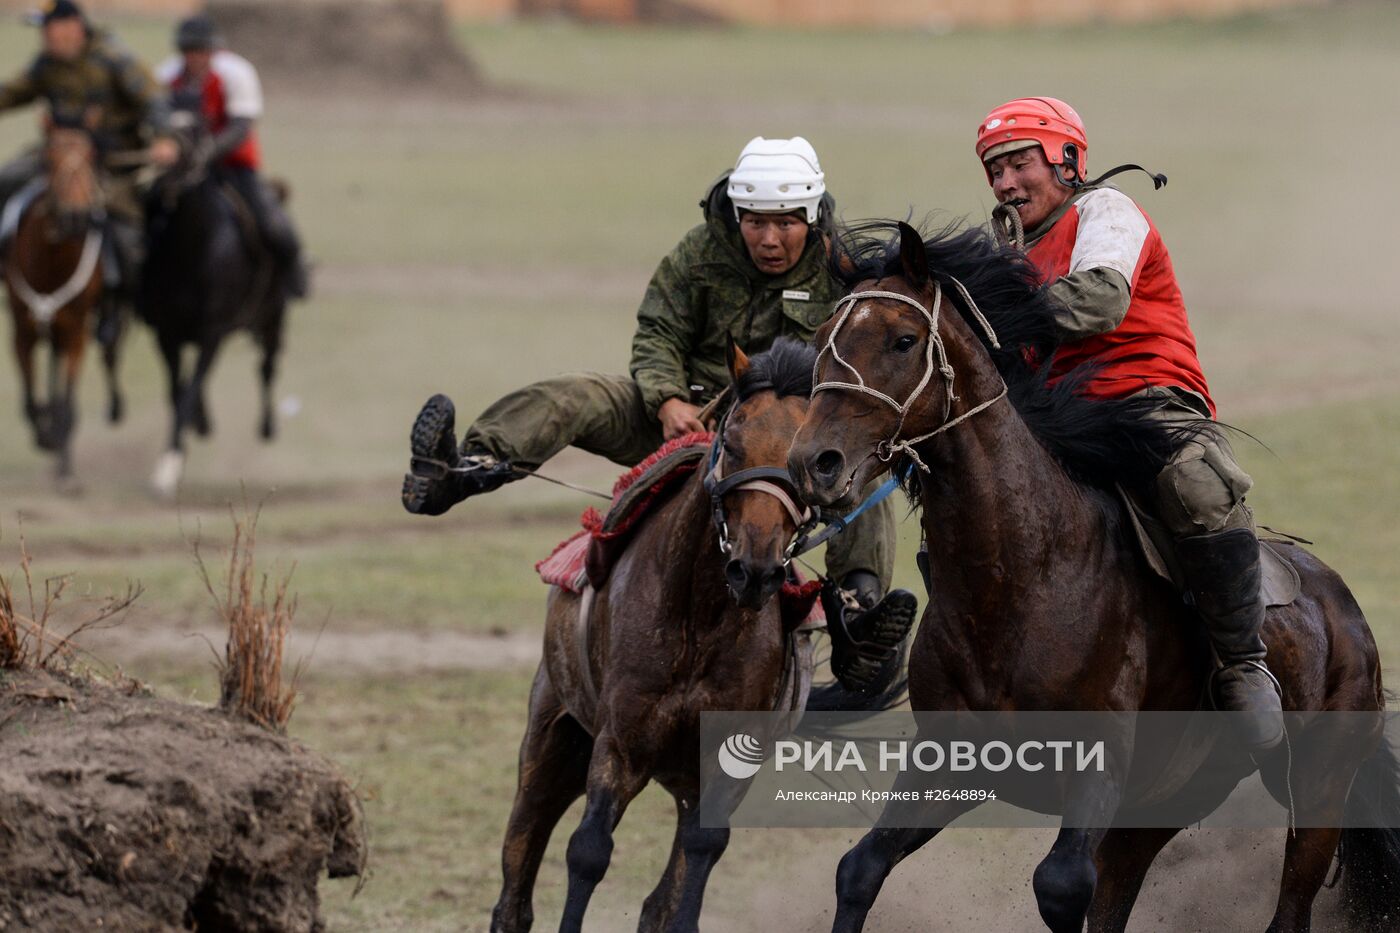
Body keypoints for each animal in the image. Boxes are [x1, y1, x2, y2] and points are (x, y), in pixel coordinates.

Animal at [4, 121, 125, 479]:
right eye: (49, 158)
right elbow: (31, 402)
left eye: (92, 156)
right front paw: (45, 435)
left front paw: (62, 456)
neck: (52, 261)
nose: (74, 217)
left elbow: (66, 404)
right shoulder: (22, 332)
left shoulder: (76, 333)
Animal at [140, 109, 288, 498]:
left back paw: (267, 426)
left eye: (196, 131)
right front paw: (174, 459)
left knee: (267, 367)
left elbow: (189, 391)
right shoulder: (167, 335)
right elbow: (178, 392)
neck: (190, 251)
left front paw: (166, 470)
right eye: (160, 125)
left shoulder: (213, 334)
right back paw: (204, 423)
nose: (165, 160)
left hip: (272, 319)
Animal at [492, 340, 907, 930]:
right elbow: (589, 851)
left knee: (658, 898)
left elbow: (699, 855)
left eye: (809, 464)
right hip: (552, 741)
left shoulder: (726, 759)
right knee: (517, 883)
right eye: (730, 442)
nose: (754, 570)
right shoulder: (620, 744)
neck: (698, 622)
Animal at [789, 224, 1400, 930]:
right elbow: (860, 868)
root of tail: (1345, 610)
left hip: (1319, 792)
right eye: (819, 340)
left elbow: (1058, 885)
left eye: (903, 339)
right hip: (1159, 810)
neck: (1021, 576)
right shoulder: (951, 761)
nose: (815, 463)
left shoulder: (1097, 761)